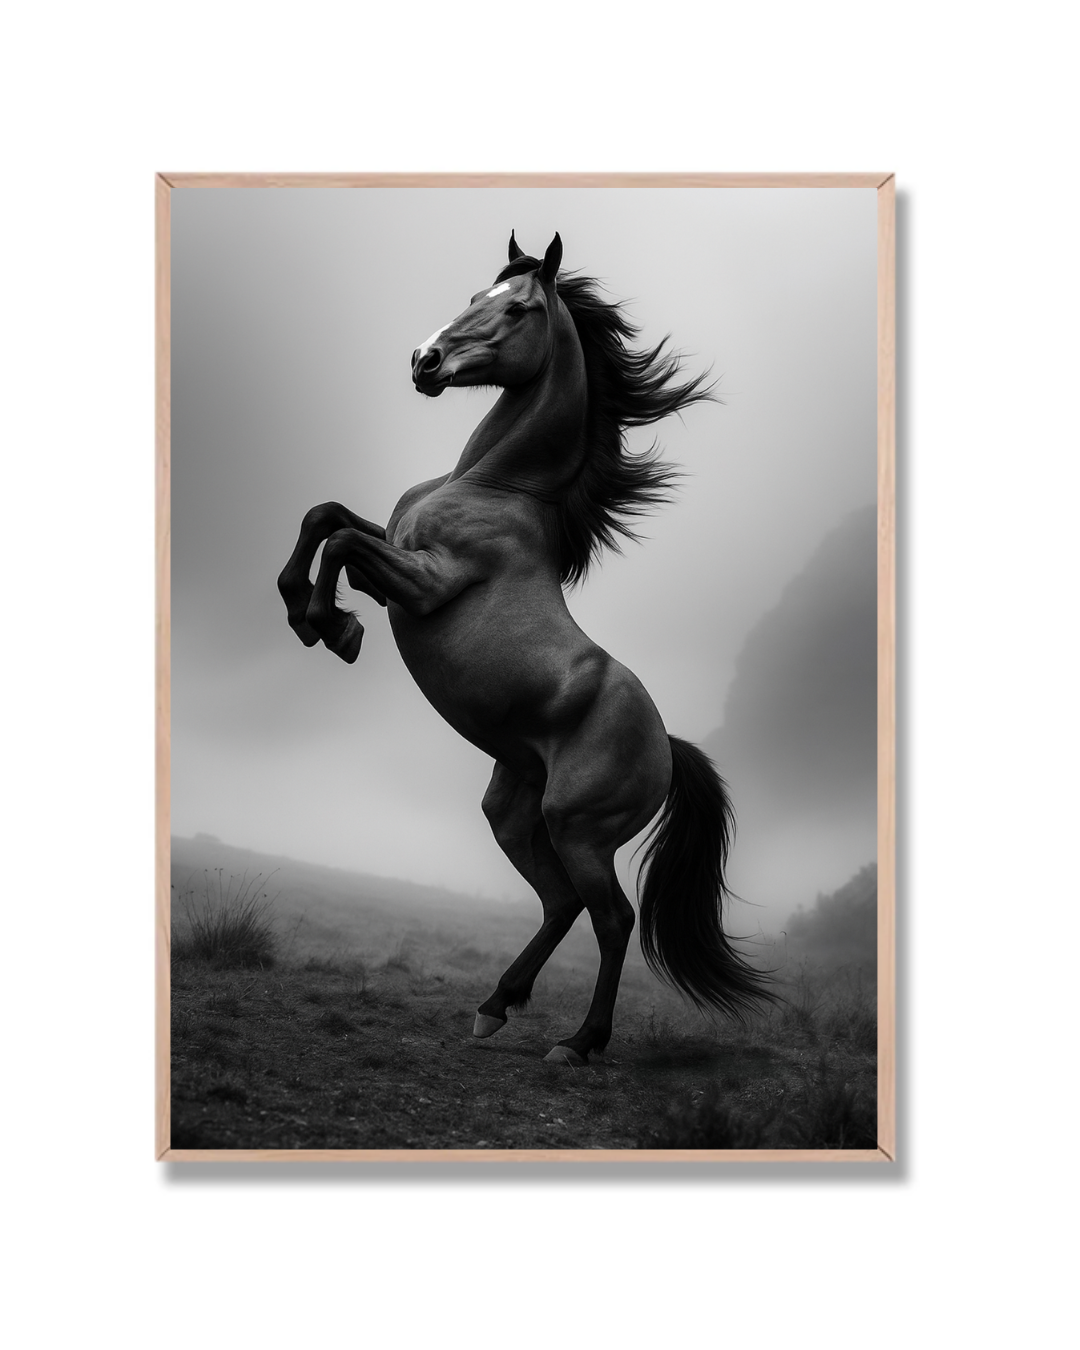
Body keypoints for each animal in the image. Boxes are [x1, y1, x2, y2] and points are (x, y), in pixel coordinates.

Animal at [277, 231, 775, 1065]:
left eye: (518, 309)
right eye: (474, 296)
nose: (424, 361)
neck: (494, 487)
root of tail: (667, 748)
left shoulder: (424, 583)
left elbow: (341, 538)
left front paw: (331, 626)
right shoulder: (394, 557)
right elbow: (327, 515)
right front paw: (307, 612)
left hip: (581, 829)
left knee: (611, 918)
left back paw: (579, 1042)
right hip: (514, 812)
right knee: (561, 903)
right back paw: (494, 1005)